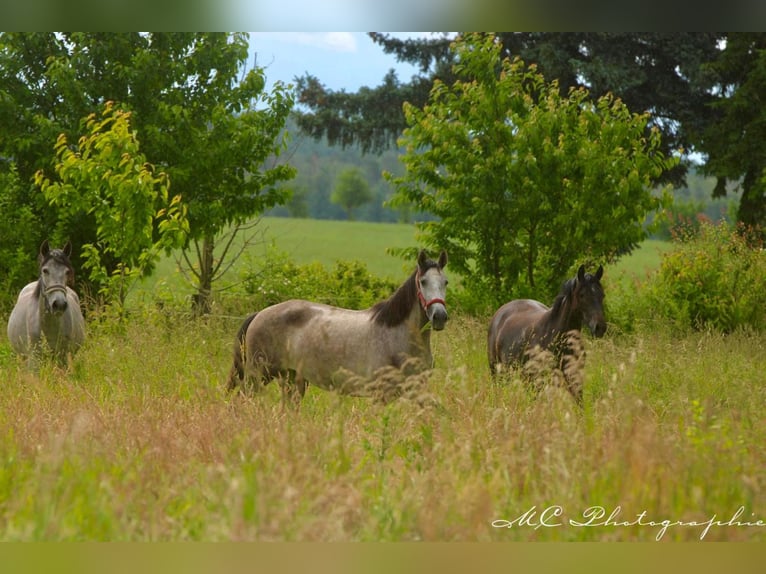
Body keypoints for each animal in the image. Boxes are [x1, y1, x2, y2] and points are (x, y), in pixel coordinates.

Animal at [228, 249, 448, 405]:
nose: (440, 316)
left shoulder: (417, 389)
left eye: (445, 282)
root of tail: (258, 314)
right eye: (423, 281)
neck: (397, 336)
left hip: (292, 379)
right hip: (257, 376)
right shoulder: (381, 394)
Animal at [487, 265, 606, 403]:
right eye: (582, 295)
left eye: (602, 295)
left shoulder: (574, 377)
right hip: (498, 371)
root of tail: (500, 313)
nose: (600, 327)